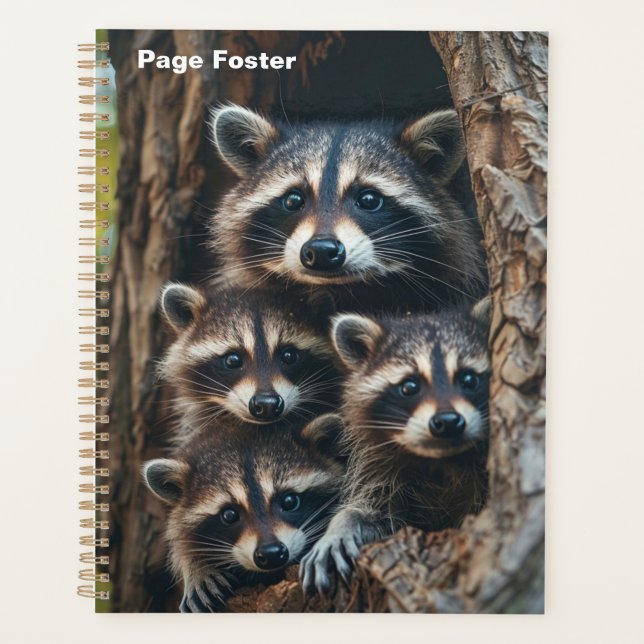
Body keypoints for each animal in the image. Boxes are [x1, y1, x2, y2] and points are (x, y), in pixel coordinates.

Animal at [299, 299, 491, 596]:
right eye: (409, 386)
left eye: (469, 379)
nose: (448, 422)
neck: (440, 459)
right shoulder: (377, 463)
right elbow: (374, 511)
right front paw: (340, 525)